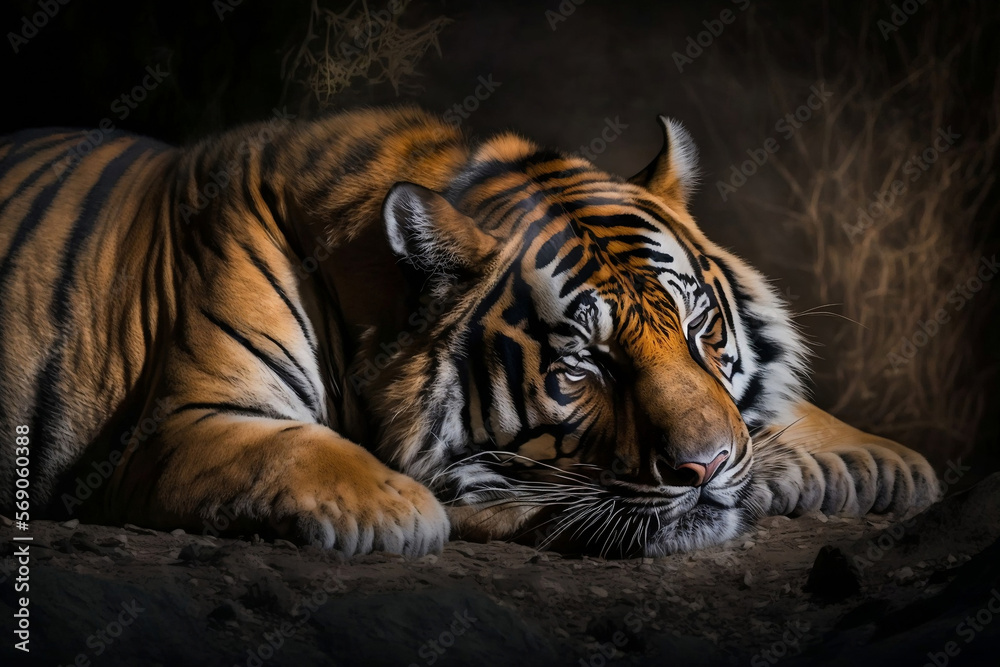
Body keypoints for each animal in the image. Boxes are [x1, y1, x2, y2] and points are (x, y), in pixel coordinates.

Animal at [0, 106, 940, 558]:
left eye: (700, 332)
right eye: (584, 365)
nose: (703, 470)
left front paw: (873, 459)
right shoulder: (173, 426)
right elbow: (288, 447)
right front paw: (395, 507)